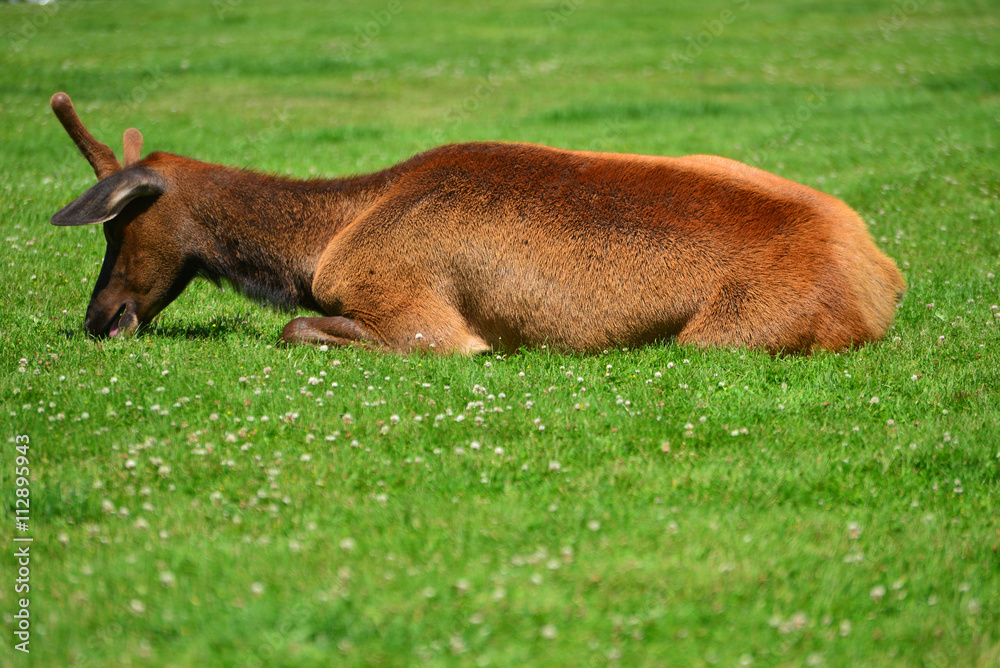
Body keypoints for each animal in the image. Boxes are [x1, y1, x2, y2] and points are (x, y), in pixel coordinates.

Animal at [49, 92, 905, 355]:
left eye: (116, 226)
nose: (99, 317)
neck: (314, 249)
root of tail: (884, 275)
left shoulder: (429, 324)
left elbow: (295, 328)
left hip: (724, 336)